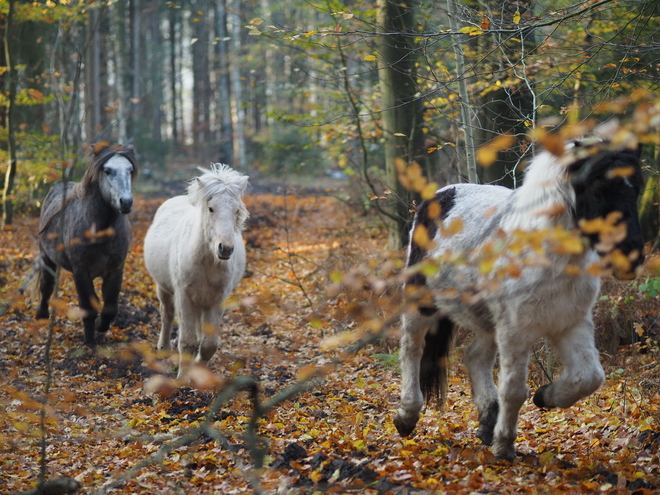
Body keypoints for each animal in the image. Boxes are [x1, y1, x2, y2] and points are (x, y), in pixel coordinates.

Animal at [34, 141, 138, 346]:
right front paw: (90, 342)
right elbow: (88, 307)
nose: (126, 202)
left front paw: (101, 327)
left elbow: (110, 306)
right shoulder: (81, 271)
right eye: (107, 170)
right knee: (46, 285)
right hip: (47, 258)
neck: (100, 230)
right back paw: (41, 315)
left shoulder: (115, 269)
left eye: (130, 170)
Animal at [143, 165, 249, 378]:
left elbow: (208, 345)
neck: (206, 262)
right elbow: (188, 342)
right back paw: (164, 348)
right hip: (164, 288)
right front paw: (183, 379)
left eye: (236, 210)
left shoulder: (217, 300)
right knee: (167, 314)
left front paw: (200, 372)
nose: (225, 249)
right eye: (211, 208)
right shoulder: (184, 297)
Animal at [394, 141, 640, 464]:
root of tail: (440, 195)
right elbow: (513, 390)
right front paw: (505, 446)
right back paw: (407, 417)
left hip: (486, 319)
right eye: (598, 190)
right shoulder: (515, 330)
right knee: (412, 349)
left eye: (636, 190)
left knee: (475, 357)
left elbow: (589, 378)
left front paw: (544, 397)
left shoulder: (570, 324)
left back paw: (487, 422)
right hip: (421, 302)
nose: (632, 257)